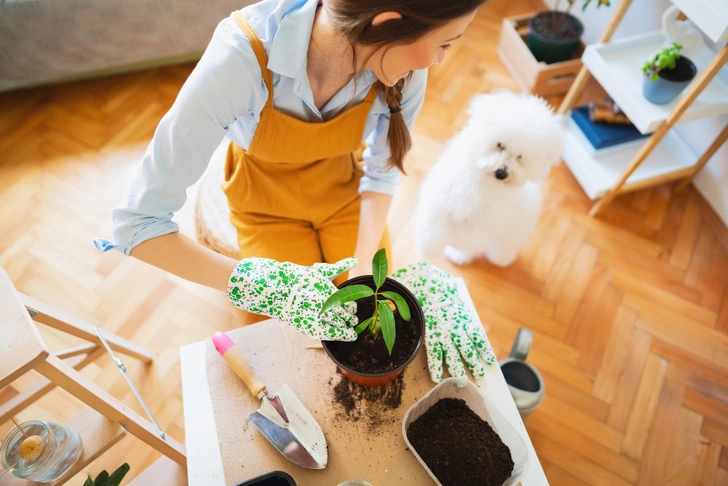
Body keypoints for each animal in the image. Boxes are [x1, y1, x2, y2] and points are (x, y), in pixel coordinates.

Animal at [416, 89, 564, 268]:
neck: (482, 183)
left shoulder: (481, 226)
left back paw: (498, 259)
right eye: (500, 145)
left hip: (514, 232)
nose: (501, 173)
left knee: (502, 245)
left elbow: (465, 242)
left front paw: (455, 253)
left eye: (520, 157)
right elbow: (433, 228)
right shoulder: (441, 203)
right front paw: (428, 249)